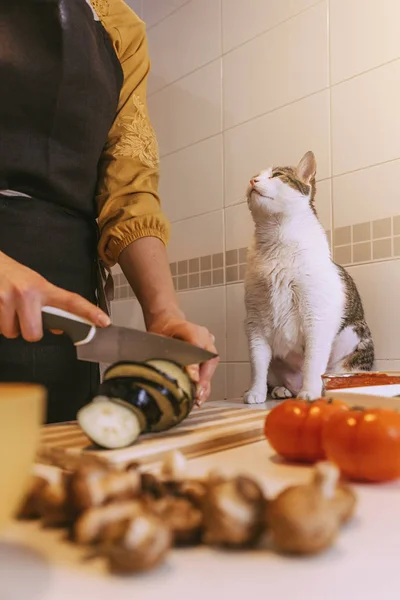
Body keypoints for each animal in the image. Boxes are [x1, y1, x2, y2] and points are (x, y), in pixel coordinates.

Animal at [242, 150, 374, 406]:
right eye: (255, 175)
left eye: (277, 175)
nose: (252, 181)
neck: (276, 243)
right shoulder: (254, 321)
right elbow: (257, 363)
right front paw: (255, 392)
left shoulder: (317, 317)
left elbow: (313, 362)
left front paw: (309, 392)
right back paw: (282, 389)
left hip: (357, 349)